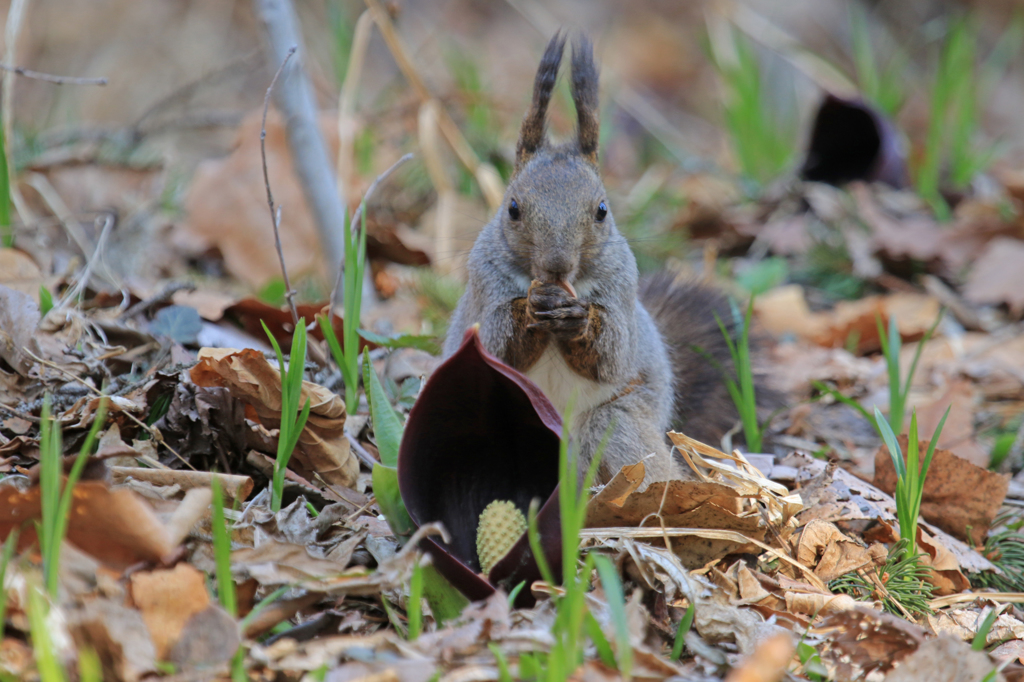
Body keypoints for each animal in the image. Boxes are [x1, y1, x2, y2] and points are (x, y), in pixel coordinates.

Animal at [442, 31, 753, 483]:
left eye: (602, 210)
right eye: (512, 208)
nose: (556, 266)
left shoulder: (622, 286)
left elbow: (612, 352)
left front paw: (578, 319)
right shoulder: (484, 283)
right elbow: (497, 341)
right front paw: (530, 308)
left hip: (617, 422)